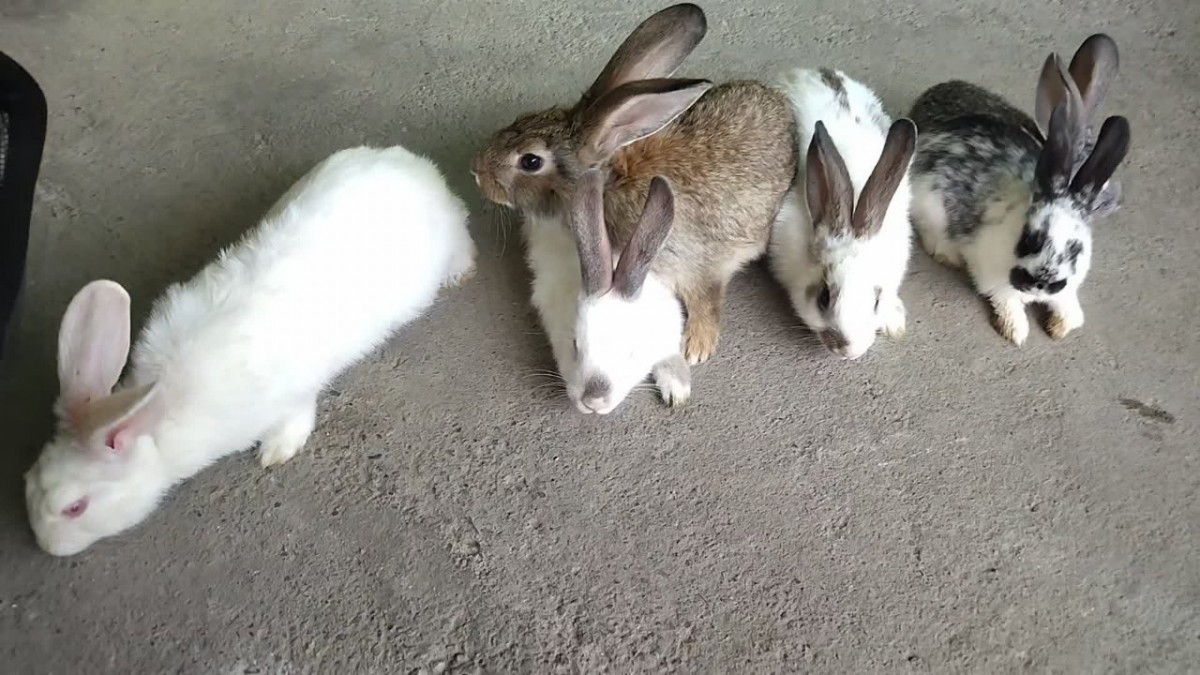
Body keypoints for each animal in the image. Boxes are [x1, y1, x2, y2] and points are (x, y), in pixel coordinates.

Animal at [24, 144, 477, 556]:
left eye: (75, 508)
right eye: (27, 482)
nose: (46, 547)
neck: (157, 422)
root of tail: (418, 167)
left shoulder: (291, 396)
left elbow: (297, 417)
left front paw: (277, 452)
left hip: (448, 245)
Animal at [471, 3, 797, 366]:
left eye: (530, 161)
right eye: (523, 118)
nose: (477, 170)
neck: (609, 183)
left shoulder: (694, 262)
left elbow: (706, 298)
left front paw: (697, 348)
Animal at [908, 34, 1130, 345]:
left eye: (1076, 250)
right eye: (1030, 239)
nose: (1041, 282)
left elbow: (1067, 305)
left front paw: (1061, 327)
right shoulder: (989, 273)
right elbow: (1006, 301)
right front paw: (1016, 331)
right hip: (929, 205)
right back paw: (948, 254)